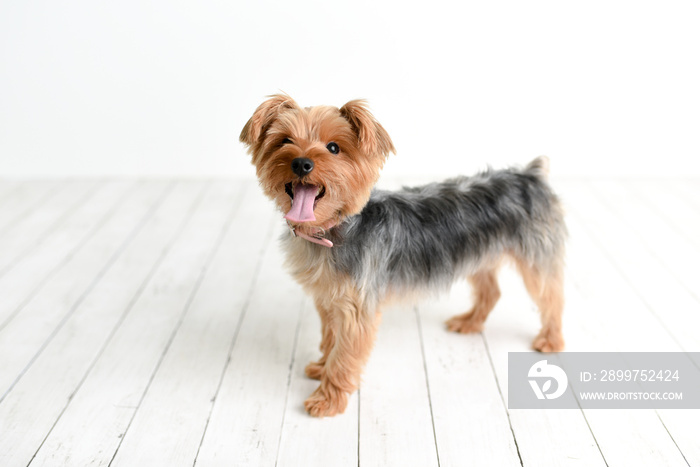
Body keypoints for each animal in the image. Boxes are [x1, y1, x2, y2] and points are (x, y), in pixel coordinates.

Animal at [239, 94, 564, 416]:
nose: (301, 163)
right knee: (491, 291)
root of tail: (530, 174)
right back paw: (470, 322)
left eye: (333, 148)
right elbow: (330, 338)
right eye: (284, 141)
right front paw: (321, 367)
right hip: (480, 253)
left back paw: (550, 340)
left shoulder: (355, 309)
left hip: (535, 254)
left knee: (551, 297)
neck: (332, 229)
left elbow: (344, 355)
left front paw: (327, 399)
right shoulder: (329, 299)